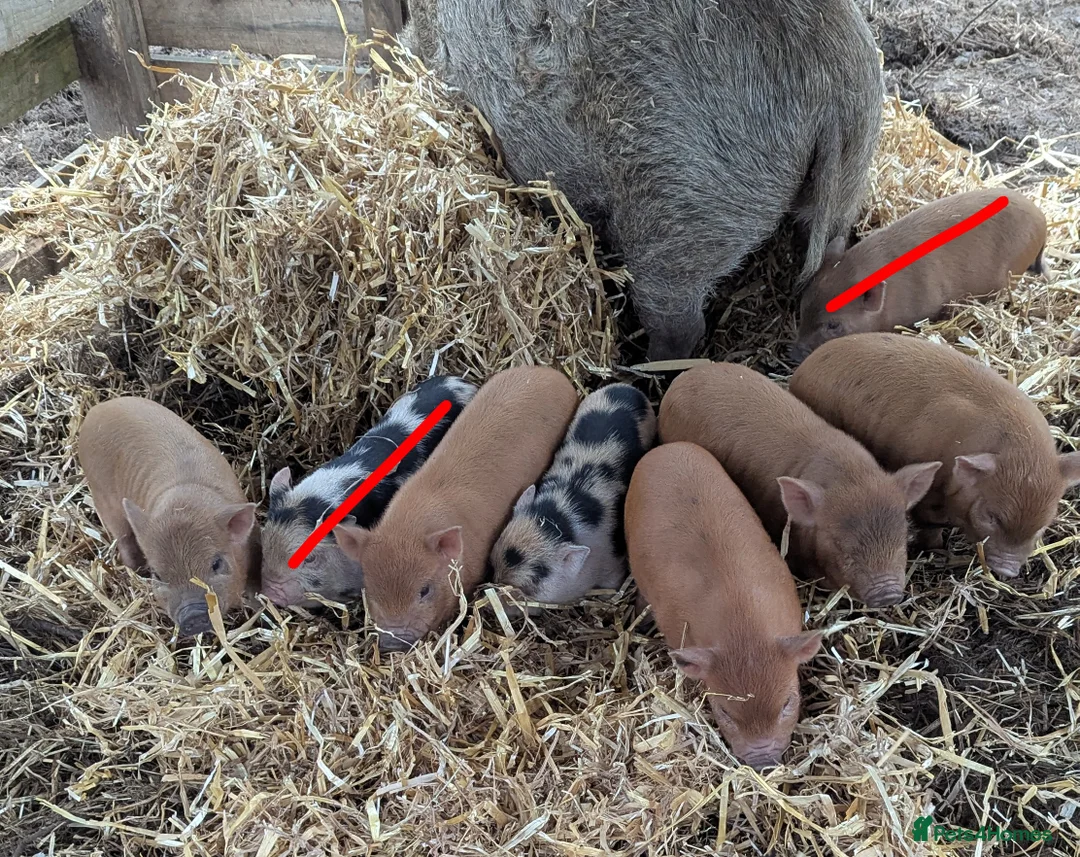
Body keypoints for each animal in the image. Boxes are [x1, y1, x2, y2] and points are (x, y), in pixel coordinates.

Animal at [77, 396, 258, 637]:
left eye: (217, 564)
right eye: (158, 575)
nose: (193, 615)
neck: (185, 501)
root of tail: (96, 410)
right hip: (102, 496)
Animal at [402, 0, 882, 360]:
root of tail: (829, 85)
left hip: (679, 207)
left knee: (678, 321)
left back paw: (640, 367)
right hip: (852, 171)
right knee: (830, 243)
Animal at [488, 383, 656, 609]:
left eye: (542, 570)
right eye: (500, 540)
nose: (499, 579)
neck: (561, 518)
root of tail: (628, 388)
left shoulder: (613, 564)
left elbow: (612, 584)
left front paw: (606, 598)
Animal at [789, 333, 1080, 578]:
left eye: (1043, 524)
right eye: (991, 515)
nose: (1007, 572)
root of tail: (802, 368)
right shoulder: (929, 489)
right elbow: (929, 523)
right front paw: (936, 549)